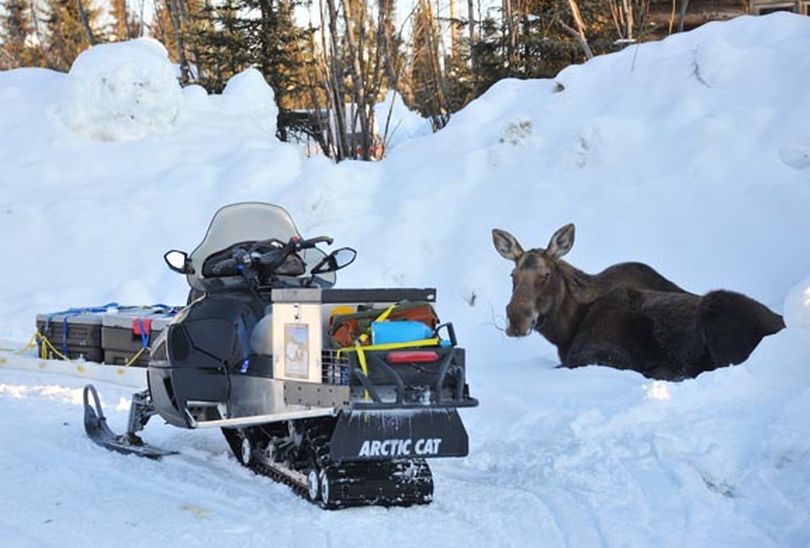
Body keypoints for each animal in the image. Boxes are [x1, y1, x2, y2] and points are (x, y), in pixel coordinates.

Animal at [492, 224, 784, 382]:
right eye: (513, 276)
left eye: (545, 275)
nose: (516, 319)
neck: (565, 331)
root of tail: (780, 322)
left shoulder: (605, 355)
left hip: (718, 305)